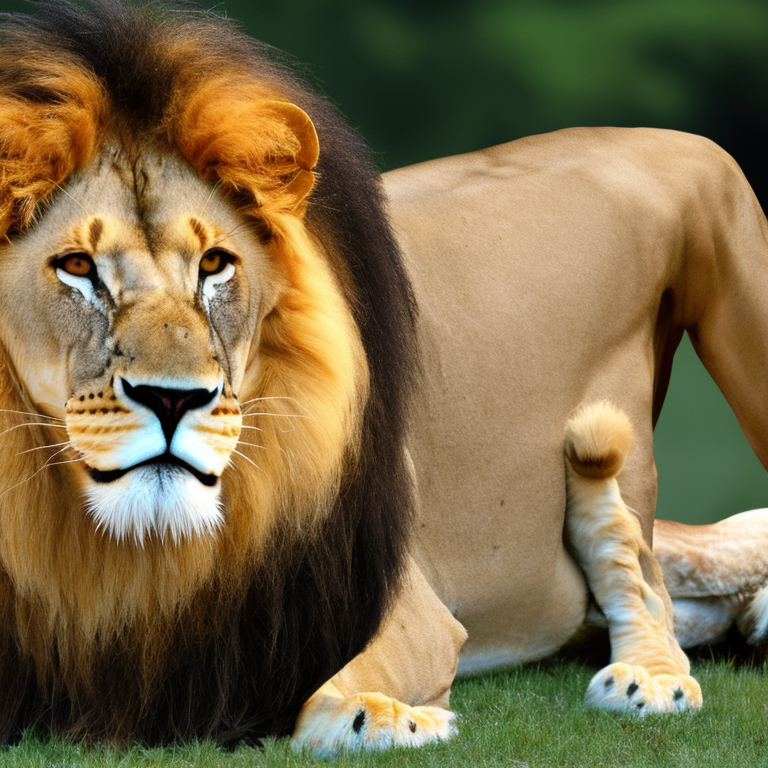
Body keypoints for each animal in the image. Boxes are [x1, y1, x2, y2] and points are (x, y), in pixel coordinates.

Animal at [1, 0, 768, 756]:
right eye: (77, 268)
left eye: (215, 265)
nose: (172, 399)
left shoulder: (403, 614)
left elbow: (315, 712)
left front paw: (391, 719)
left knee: (651, 574)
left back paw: (655, 677)